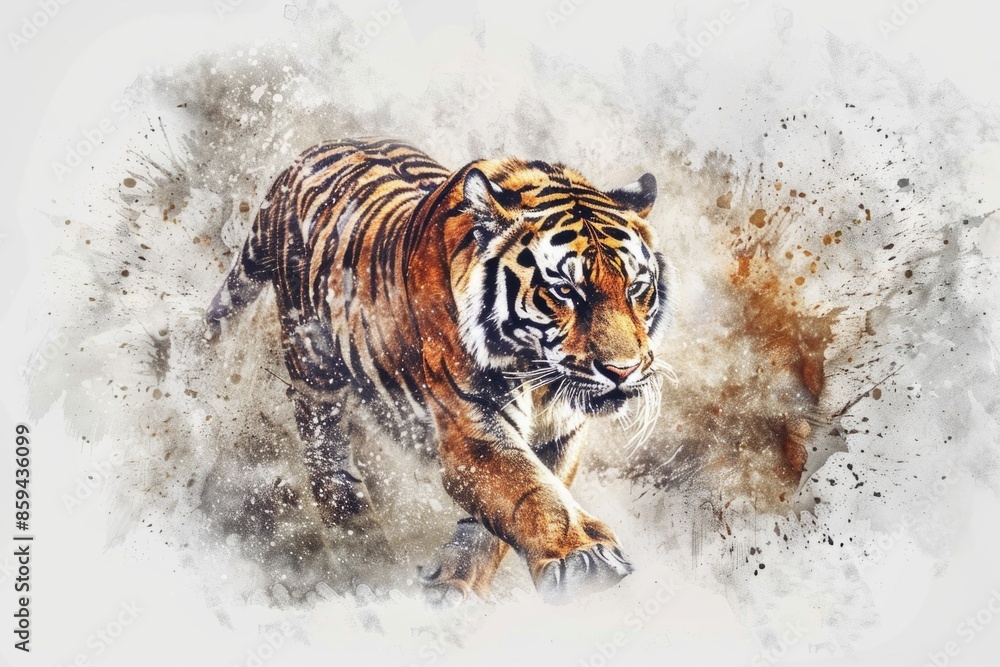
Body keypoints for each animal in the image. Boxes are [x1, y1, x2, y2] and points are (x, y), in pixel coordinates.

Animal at [206, 138, 673, 604]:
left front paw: (456, 583)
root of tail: (309, 154)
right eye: (564, 291)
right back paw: (359, 541)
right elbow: (530, 489)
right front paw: (583, 556)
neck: (540, 378)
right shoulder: (474, 428)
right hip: (312, 361)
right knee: (324, 447)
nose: (623, 371)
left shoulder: (561, 434)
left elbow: (503, 515)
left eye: (636, 288)